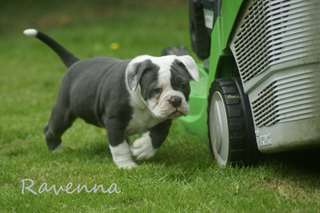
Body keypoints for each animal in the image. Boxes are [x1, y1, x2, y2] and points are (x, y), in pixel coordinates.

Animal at [23, 28, 199, 169]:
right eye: (156, 89)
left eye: (183, 85)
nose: (175, 100)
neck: (142, 103)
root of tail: (76, 63)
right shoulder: (115, 121)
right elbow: (118, 146)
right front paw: (127, 165)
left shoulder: (164, 118)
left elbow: (158, 135)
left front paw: (143, 149)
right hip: (64, 111)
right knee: (52, 128)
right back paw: (57, 150)